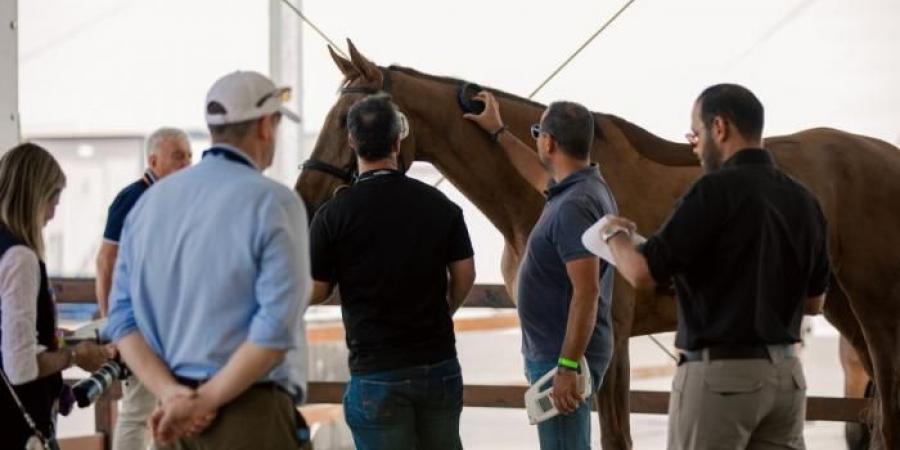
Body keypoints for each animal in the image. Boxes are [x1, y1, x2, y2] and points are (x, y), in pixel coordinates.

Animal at [296, 41, 900, 446]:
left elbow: (614, 435)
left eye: (348, 119)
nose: (305, 198)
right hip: (842, 308)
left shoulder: (605, 336)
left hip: (877, 313)